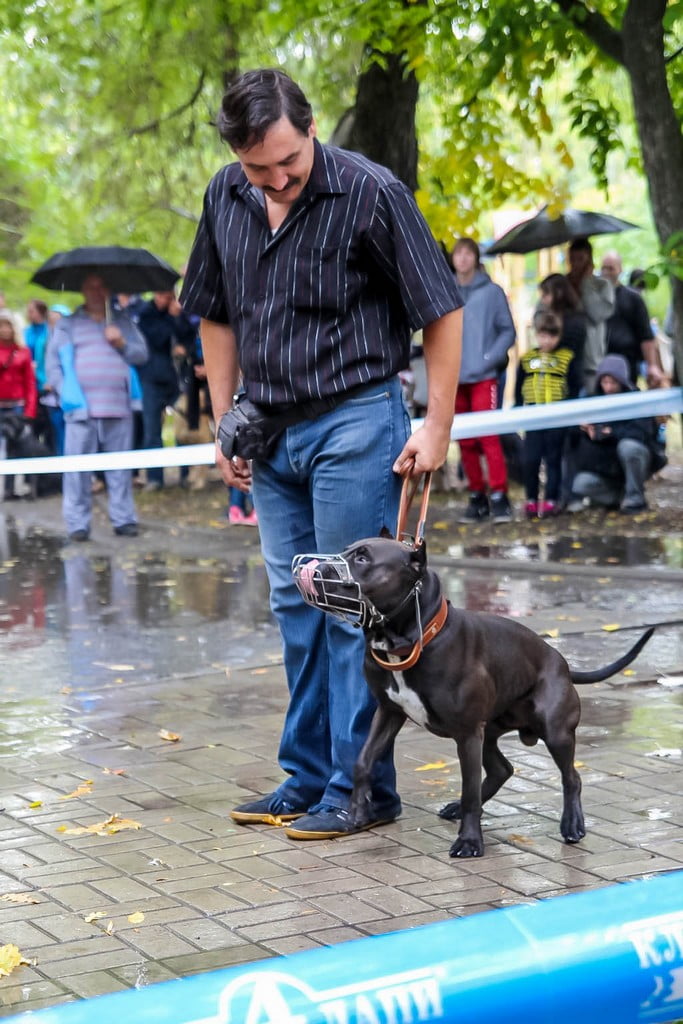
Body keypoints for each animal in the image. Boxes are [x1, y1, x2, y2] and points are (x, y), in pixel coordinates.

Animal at [290, 532, 655, 860]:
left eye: (363, 559)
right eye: (346, 551)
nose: (312, 568)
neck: (409, 640)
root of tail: (562, 662)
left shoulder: (466, 734)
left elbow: (469, 793)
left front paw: (469, 842)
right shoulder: (389, 713)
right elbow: (362, 762)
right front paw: (356, 813)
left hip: (554, 731)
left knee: (571, 777)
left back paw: (572, 824)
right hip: (489, 733)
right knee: (502, 769)